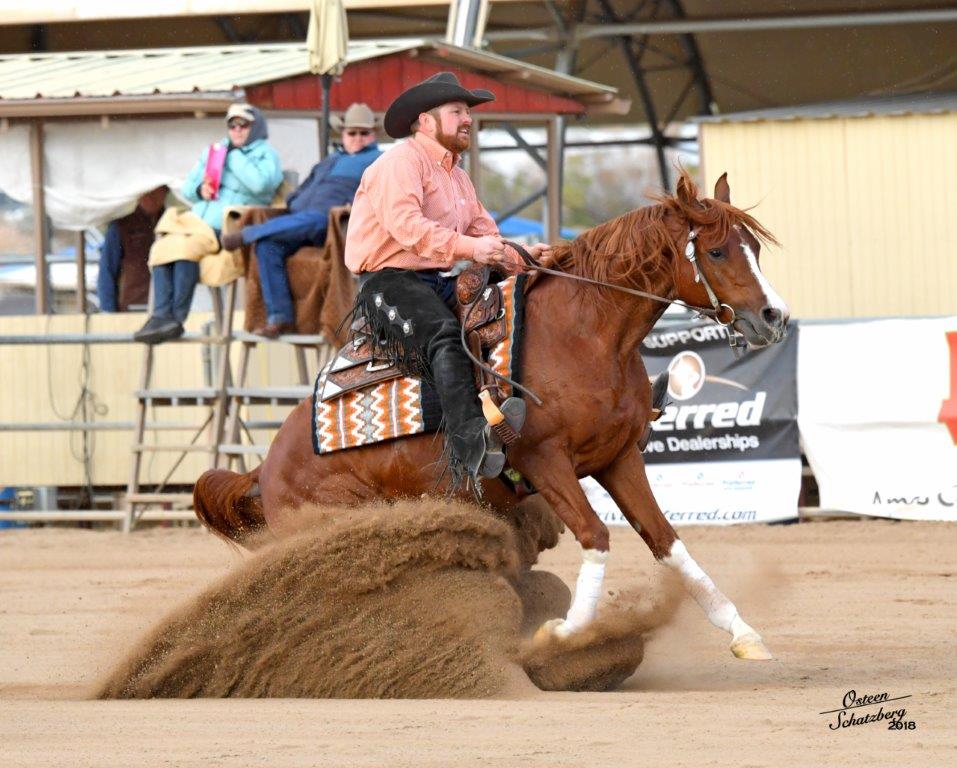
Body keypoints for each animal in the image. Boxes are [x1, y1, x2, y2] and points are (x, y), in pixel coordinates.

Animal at [194, 170, 789, 660]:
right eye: (717, 252)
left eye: (755, 247)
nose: (773, 316)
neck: (587, 333)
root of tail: (265, 468)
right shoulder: (546, 461)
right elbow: (596, 535)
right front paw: (559, 636)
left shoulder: (618, 458)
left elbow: (666, 540)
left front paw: (742, 632)